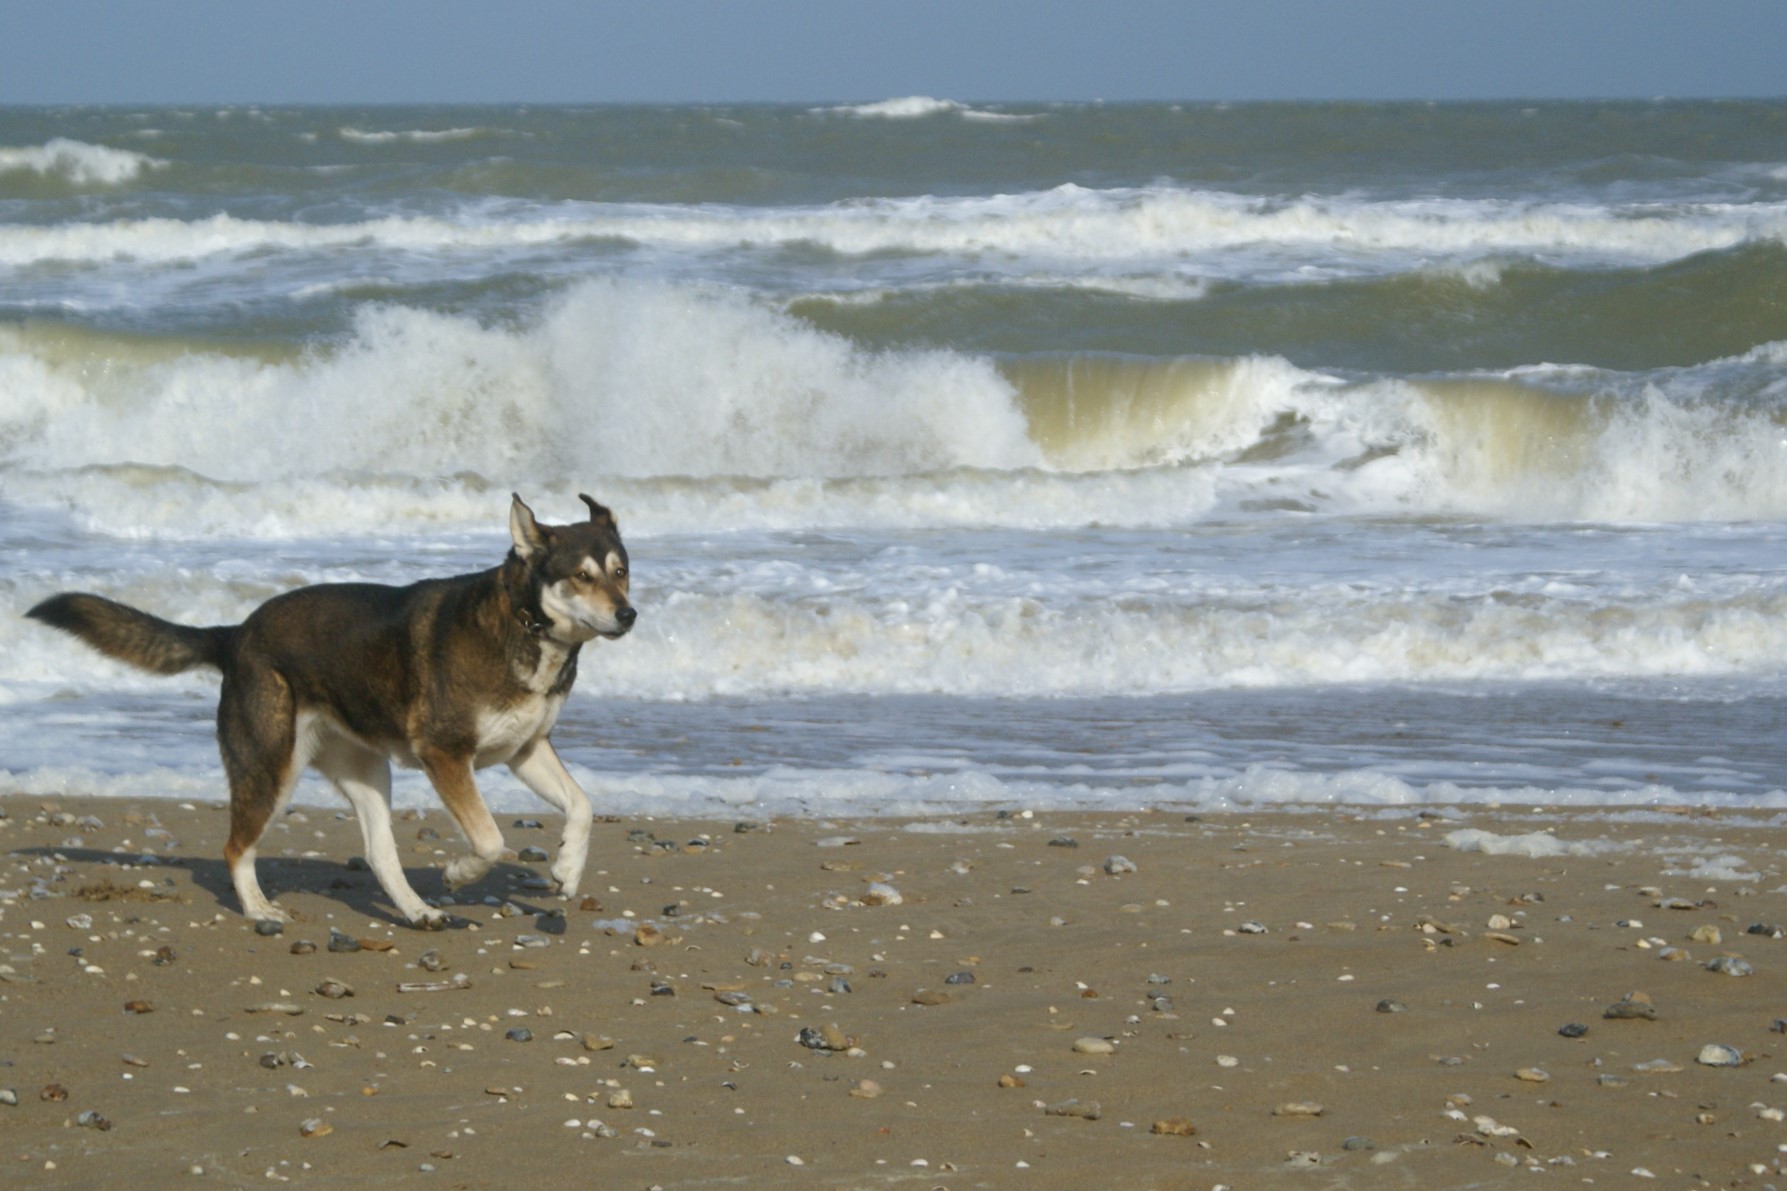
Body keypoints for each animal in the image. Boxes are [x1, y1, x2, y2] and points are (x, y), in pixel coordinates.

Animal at [26, 489, 636, 929]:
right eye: (581, 576)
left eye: (620, 570)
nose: (628, 615)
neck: (525, 622)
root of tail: (235, 634)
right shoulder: (445, 753)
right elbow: (489, 838)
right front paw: (460, 872)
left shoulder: (526, 750)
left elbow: (582, 806)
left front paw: (566, 868)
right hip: (270, 769)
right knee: (235, 847)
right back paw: (259, 908)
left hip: (367, 772)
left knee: (379, 853)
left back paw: (417, 912)